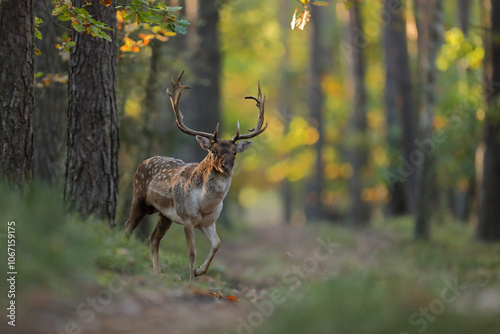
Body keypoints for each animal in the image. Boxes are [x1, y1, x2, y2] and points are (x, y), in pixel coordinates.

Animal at [123, 72, 268, 280]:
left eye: (234, 152)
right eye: (213, 151)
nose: (226, 166)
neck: (205, 204)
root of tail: (143, 162)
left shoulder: (209, 222)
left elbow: (217, 244)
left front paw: (199, 271)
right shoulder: (188, 218)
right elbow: (191, 252)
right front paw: (191, 280)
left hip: (164, 215)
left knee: (153, 239)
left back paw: (157, 273)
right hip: (139, 198)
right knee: (128, 227)